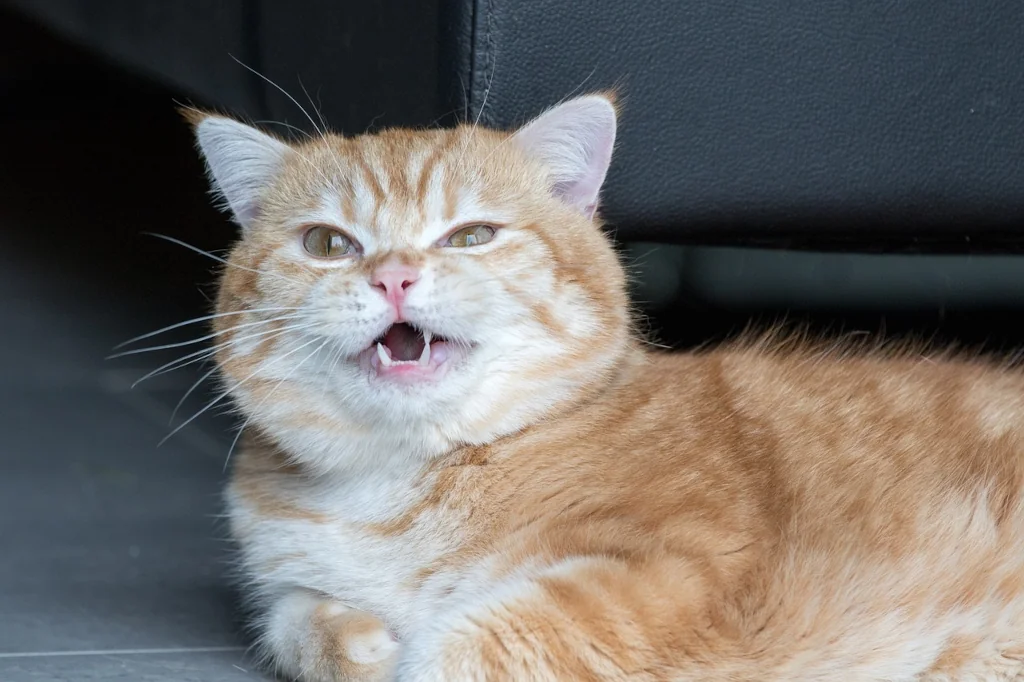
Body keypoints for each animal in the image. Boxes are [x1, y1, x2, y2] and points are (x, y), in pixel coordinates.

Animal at [182, 93, 1024, 675]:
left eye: (472, 235)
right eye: (329, 244)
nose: (393, 275)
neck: (400, 484)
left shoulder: (686, 572)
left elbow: (463, 645)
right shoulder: (290, 585)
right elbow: (294, 619)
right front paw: (357, 643)